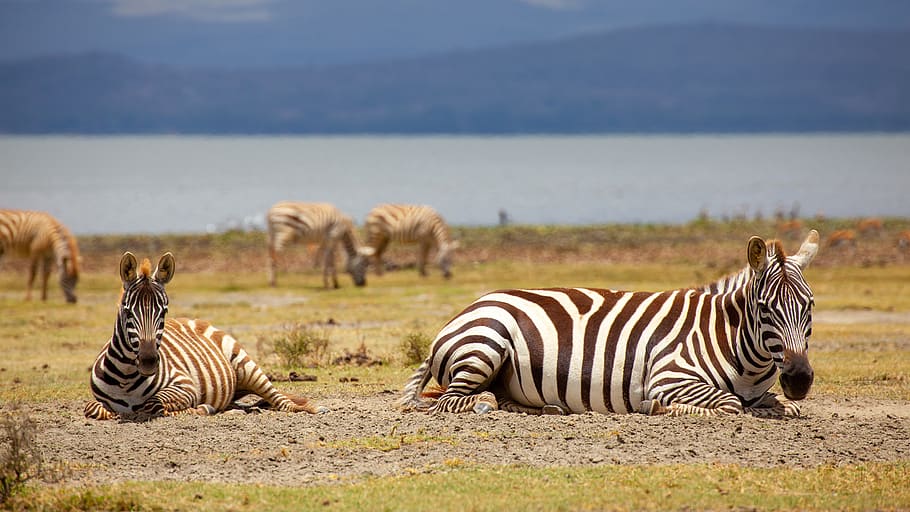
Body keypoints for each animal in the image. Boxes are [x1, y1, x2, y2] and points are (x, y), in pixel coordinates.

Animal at [85, 252, 327, 420]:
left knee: (281, 400)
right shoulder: (95, 401)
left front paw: (200, 409)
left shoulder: (186, 386)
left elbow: (153, 405)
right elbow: (93, 409)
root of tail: (193, 320)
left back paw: (313, 407)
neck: (126, 379)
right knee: (238, 404)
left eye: (163, 311)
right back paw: (234, 411)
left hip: (245, 364)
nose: (148, 361)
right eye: (127, 311)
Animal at [401, 230, 819, 418]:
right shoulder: (669, 377)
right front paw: (656, 407)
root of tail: (468, 309)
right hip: (486, 343)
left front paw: (781, 404)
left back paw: (543, 408)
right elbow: (730, 404)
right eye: (765, 309)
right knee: (452, 398)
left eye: (810, 306)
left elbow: (783, 406)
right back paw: (485, 403)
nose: (799, 379)